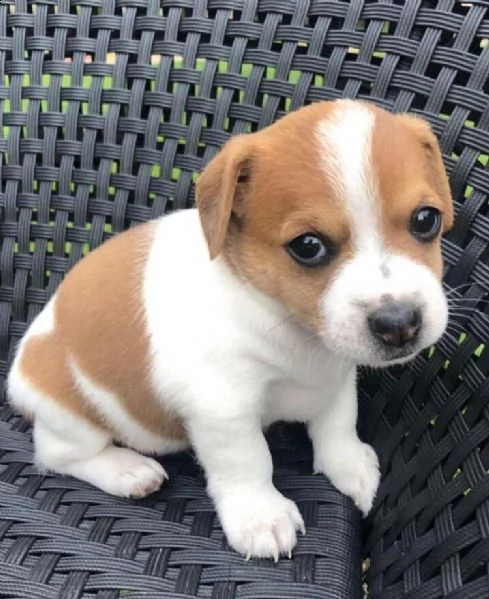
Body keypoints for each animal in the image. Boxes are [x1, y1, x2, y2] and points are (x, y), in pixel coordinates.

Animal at [5, 99, 452, 564]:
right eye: (308, 246)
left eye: (426, 220)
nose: (400, 324)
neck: (289, 326)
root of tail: (20, 370)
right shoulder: (223, 408)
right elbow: (249, 461)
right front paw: (261, 517)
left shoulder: (337, 376)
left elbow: (338, 421)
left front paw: (347, 464)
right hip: (73, 420)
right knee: (57, 455)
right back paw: (127, 470)